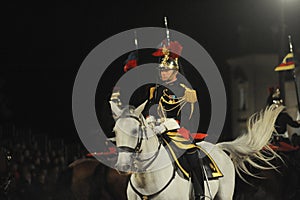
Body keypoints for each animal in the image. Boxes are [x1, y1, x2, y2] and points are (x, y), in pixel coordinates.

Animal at [110, 101, 284, 199]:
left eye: (135, 131)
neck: (147, 180)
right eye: (115, 131)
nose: (122, 166)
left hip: (225, 195)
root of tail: (218, 147)